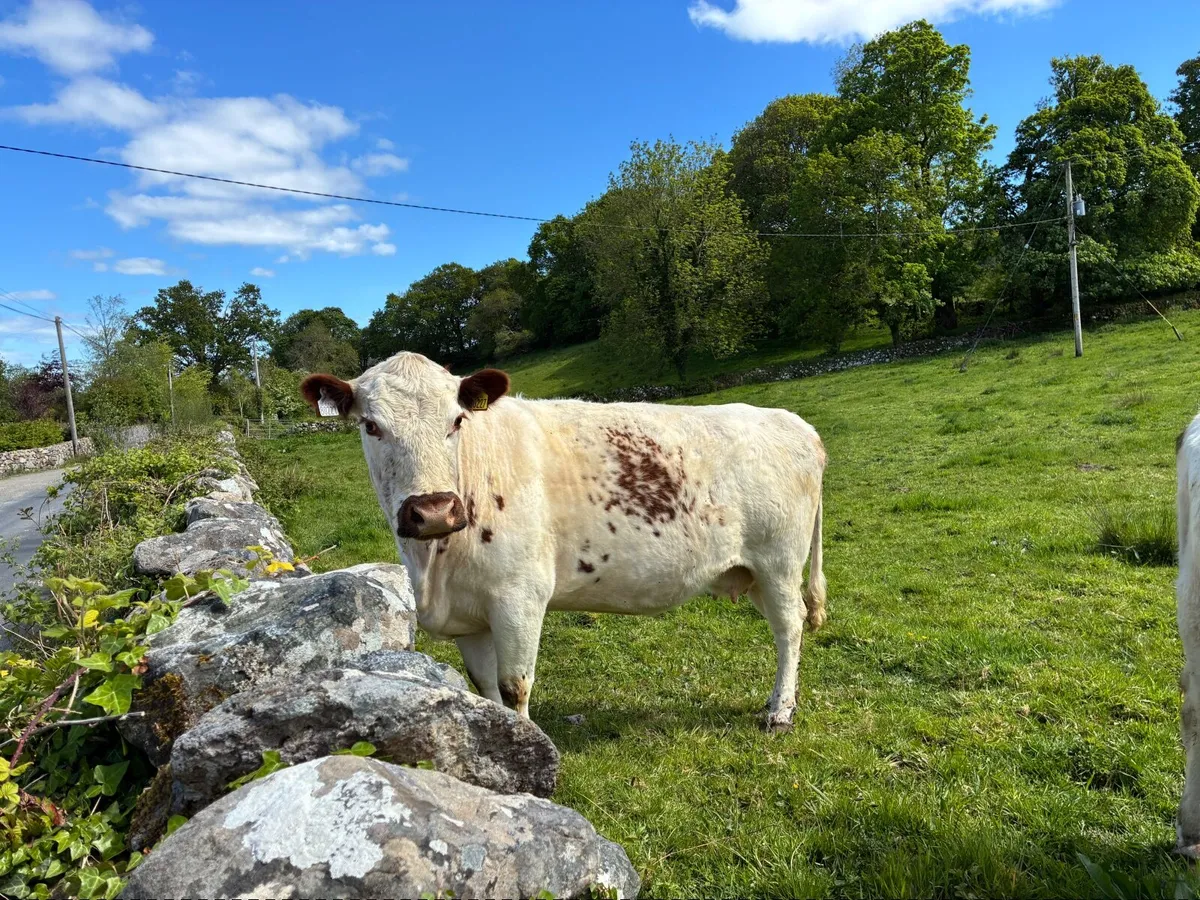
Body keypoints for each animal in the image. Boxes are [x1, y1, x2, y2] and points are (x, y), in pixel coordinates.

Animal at [301, 352, 827, 732]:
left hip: (779, 562)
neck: (435, 569)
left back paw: (780, 710)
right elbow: (485, 688)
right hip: (750, 571)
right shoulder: (469, 617)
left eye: (457, 421)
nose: (433, 511)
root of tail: (794, 422)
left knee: (791, 627)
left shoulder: (519, 596)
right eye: (371, 426)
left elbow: (514, 686)